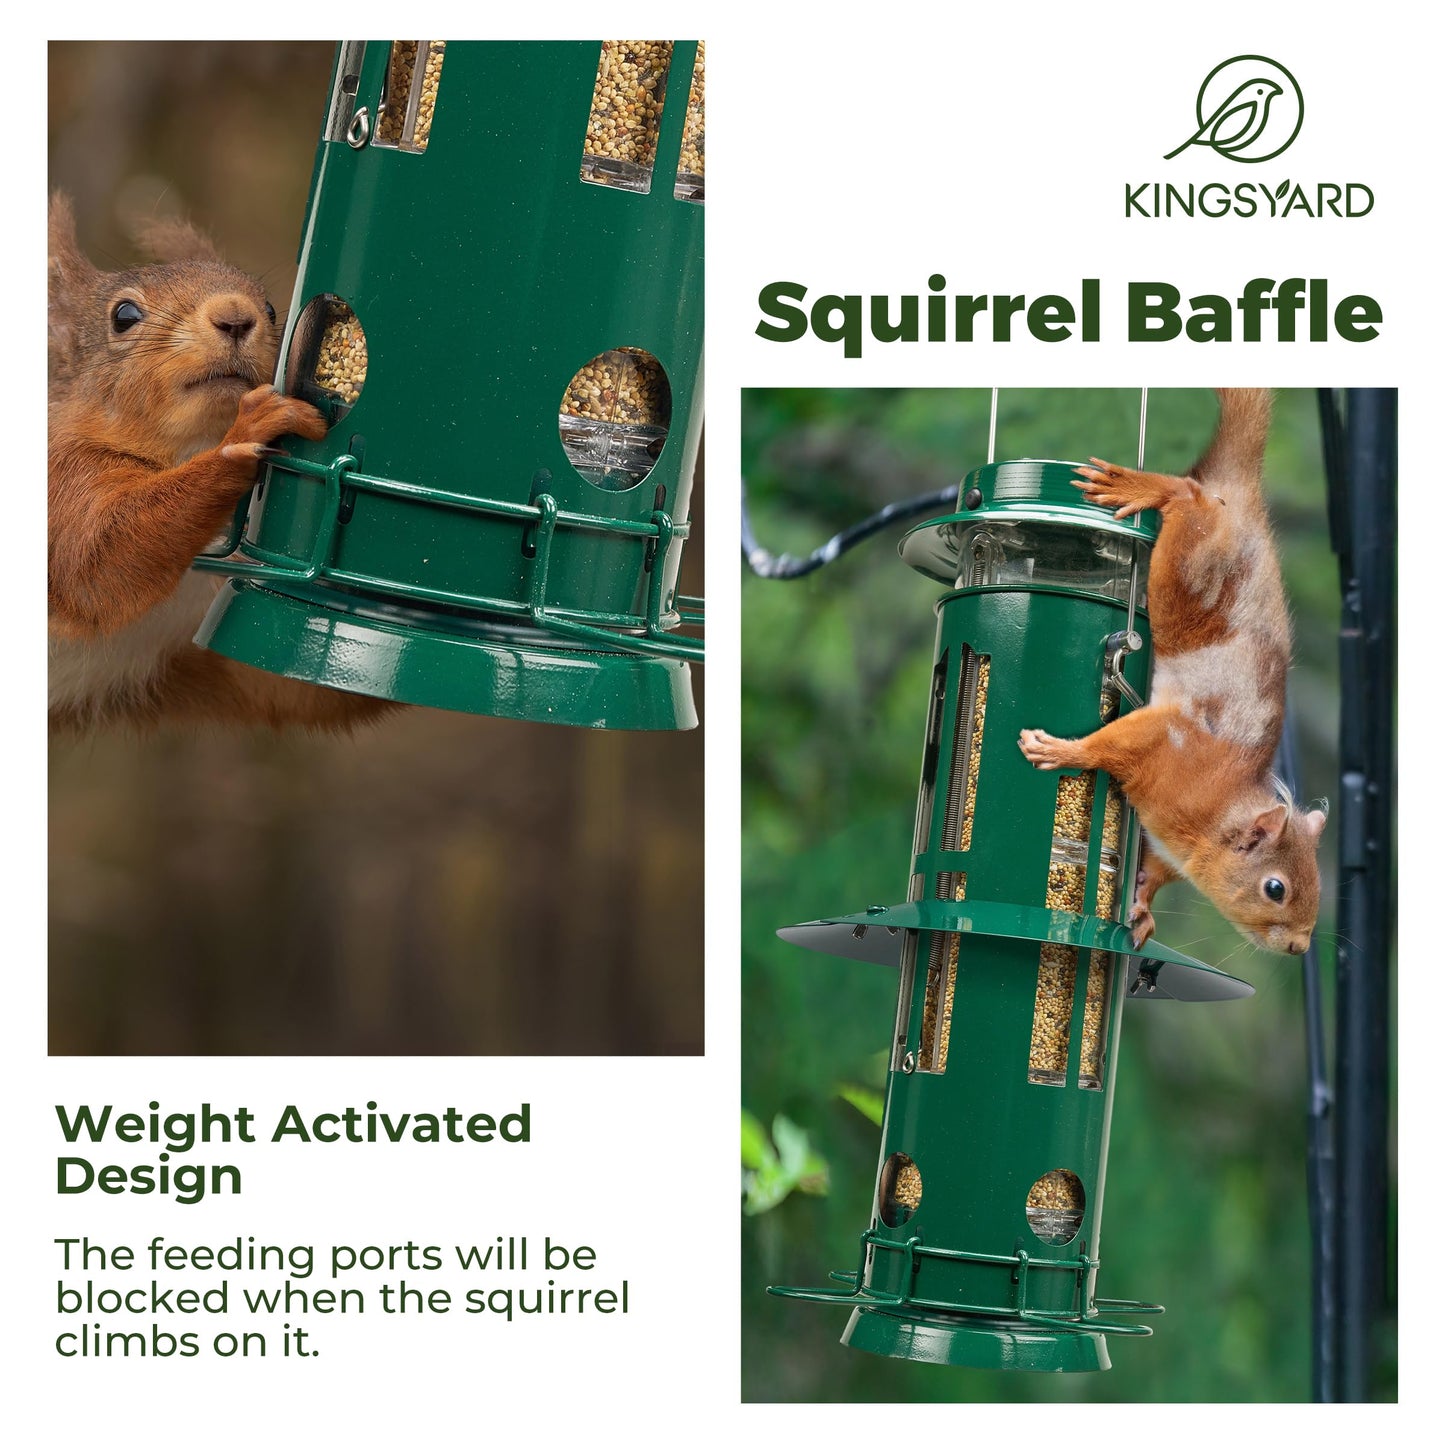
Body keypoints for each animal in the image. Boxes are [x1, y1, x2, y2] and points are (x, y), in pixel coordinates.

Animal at [48, 192, 393, 733]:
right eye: (123, 315)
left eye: (272, 308)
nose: (235, 316)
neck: (185, 449)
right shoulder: (61, 480)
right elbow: (97, 560)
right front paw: (249, 431)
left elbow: (304, 688)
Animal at [1017, 388, 1327, 956]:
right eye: (1275, 888)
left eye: (1315, 881)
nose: (1299, 947)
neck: (1217, 811)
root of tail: (1242, 496)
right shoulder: (1167, 745)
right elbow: (1111, 745)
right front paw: (1064, 752)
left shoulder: (1165, 842)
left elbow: (1154, 871)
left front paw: (1141, 907)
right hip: (1189, 565)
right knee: (1189, 496)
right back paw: (1147, 488)